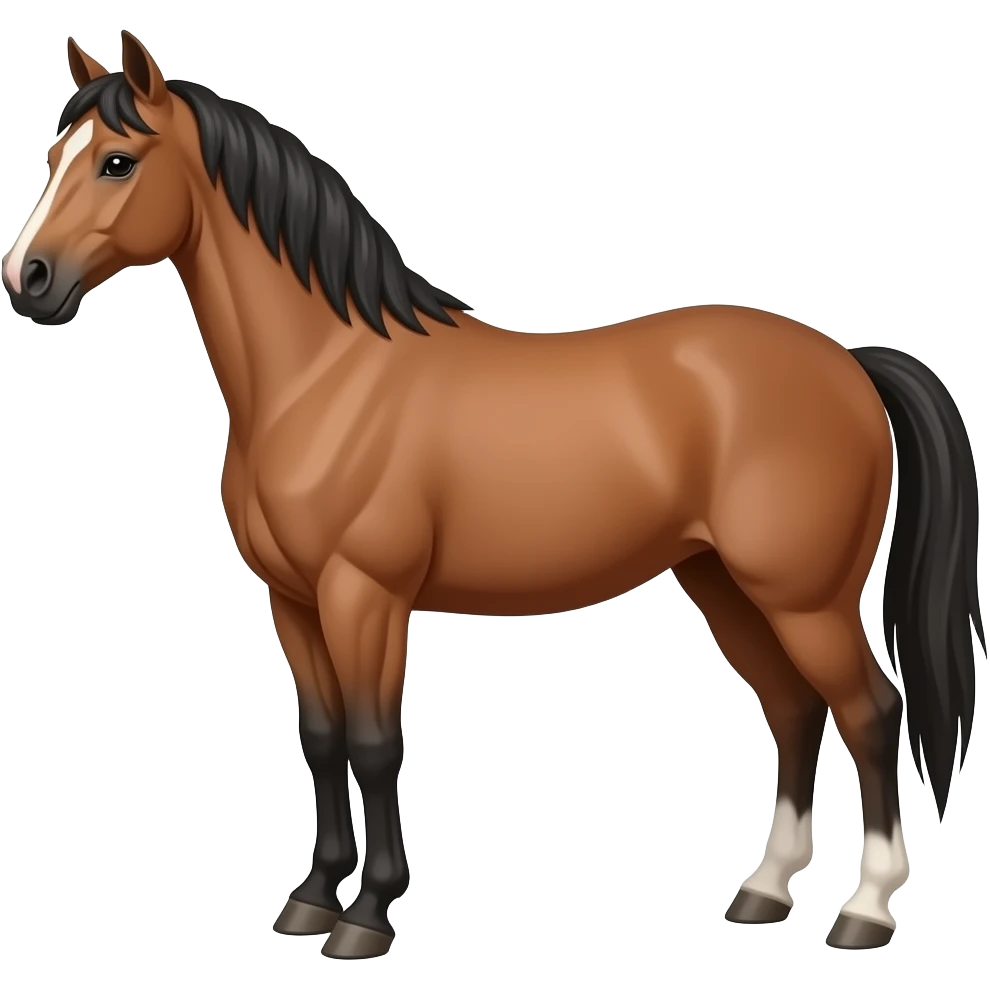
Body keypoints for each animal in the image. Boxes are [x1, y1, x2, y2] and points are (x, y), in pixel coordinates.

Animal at [2, 31, 983, 959]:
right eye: (53, 156)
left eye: (117, 161)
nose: (29, 279)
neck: (327, 375)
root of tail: (848, 363)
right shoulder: (293, 601)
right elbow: (321, 740)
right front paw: (312, 899)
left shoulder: (365, 595)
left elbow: (374, 744)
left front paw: (368, 916)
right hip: (726, 587)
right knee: (795, 711)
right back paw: (765, 893)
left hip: (803, 598)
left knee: (871, 713)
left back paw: (865, 910)